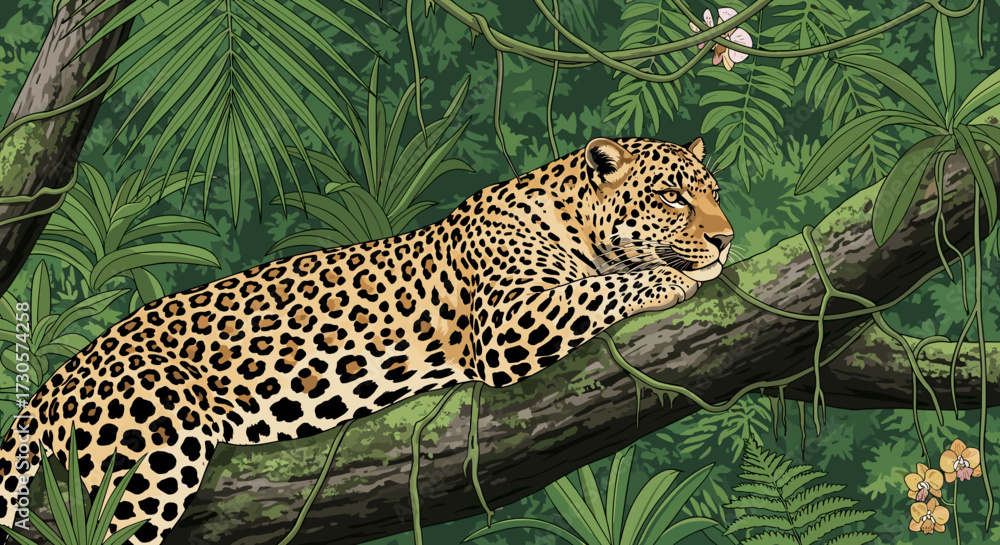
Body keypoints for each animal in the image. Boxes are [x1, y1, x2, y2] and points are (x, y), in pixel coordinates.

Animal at [0, 136, 733, 544]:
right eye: (671, 196)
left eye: (715, 192)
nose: (727, 239)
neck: (571, 217)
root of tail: (51, 385)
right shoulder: (507, 322)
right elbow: (603, 288)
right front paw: (670, 279)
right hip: (146, 461)